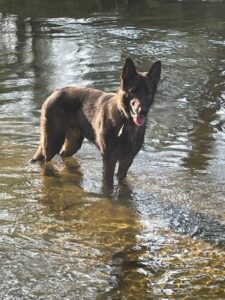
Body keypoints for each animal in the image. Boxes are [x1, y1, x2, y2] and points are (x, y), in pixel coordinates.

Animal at [31, 58, 161, 185]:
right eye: (133, 91)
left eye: (149, 92)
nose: (142, 111)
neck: (125, 122)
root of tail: (56, 91)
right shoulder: (109, 159)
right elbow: (108, 185)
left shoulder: (127, 160)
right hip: (52, 143)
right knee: (44, 161)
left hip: (73, 144)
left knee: (62, 154)